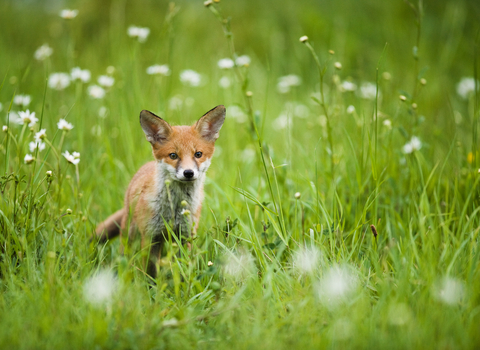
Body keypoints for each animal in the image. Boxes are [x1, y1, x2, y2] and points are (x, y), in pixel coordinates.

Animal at [96, 105, 228, 278]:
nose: (188, 173)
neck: (174, 210)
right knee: (124, 254)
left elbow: (183, 267)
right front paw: (151, 285)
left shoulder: (186, 235)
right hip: (129, 232)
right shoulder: (151, 236)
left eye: (198, 154)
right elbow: (151, 270)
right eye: (173, 155)